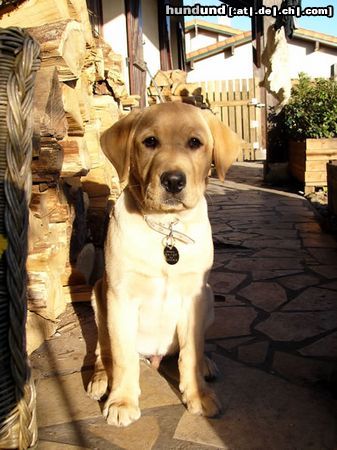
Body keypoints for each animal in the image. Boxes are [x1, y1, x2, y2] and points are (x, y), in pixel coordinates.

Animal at [86, 103, 239, 428]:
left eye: (195, 143)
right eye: (150, 142)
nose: (173, 181)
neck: (165, 226)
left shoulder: (193, 296)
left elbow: (190, 354)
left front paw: (198, 396)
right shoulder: (120, 296)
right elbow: (122, 356)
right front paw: (122, 401)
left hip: (209, 297)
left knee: (188, 349)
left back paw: (206, 364)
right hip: (98, 298)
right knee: (104, 350)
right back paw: (101, 379)